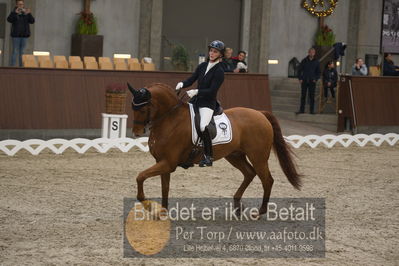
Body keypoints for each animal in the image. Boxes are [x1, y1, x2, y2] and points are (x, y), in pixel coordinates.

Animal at [130, 83, 302, 216]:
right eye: (133, 108)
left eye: (143, 109)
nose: (136, 133)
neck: (170, 119)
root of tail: (260, 114)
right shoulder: (163, 162)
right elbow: (164, 188)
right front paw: (162, 212)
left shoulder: (168, 163)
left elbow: (140, 176)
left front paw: (147, 204)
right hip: (235, 156)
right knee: (249, 173)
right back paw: (238, 206)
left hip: (258, 157)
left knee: (267, 180)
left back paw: (260, 211)